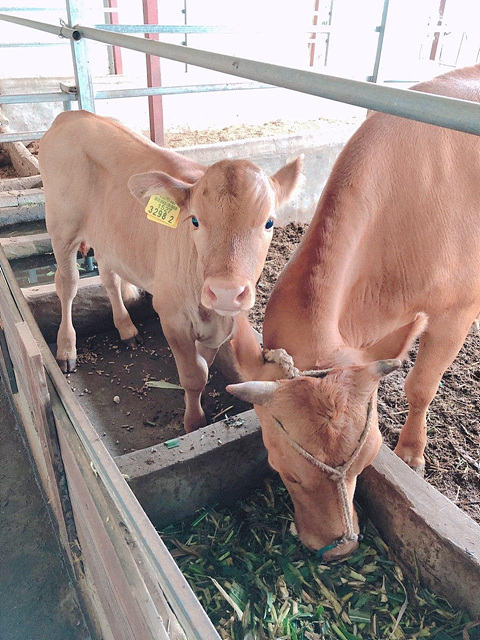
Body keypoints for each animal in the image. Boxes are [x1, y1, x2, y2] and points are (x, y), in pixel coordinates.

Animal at [40, 111, 304, 430]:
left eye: (269, 222)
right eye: (195, 221)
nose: (225, 292)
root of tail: (72, 115)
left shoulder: (222, 327)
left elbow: (204, 367)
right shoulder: (171, 315)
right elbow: (193, 376)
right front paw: (194, 421)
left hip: (109, 237)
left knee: (109, 277)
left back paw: (126, 328)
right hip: (61, 226)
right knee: (67, 284)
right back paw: (66, 350)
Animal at [227, 62, 480, 556]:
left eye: (368, 457)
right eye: (282, 469)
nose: (338, 547)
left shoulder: (459, 307)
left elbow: (421, 385)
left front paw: (411, 453)